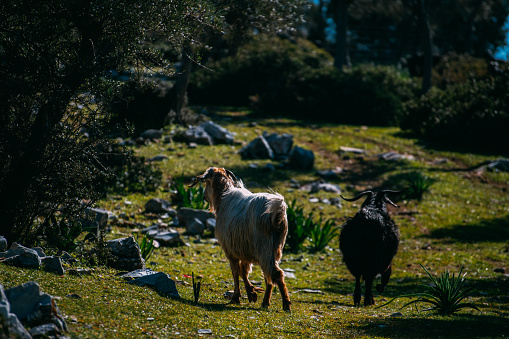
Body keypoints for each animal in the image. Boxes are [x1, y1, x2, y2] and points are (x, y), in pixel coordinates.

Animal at [189, 167, 290, 314]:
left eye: (206, 183)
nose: (203, 196)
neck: (222, 196)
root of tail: (278, 211)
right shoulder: (244, 250)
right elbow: (243, 271)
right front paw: (251, 293)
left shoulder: (230, 249)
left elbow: (236, 272)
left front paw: (238, 296)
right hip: (274, 249)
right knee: (269, 276)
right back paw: (265, 302)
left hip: (264, 248)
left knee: (275, 274)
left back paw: (286, 304)